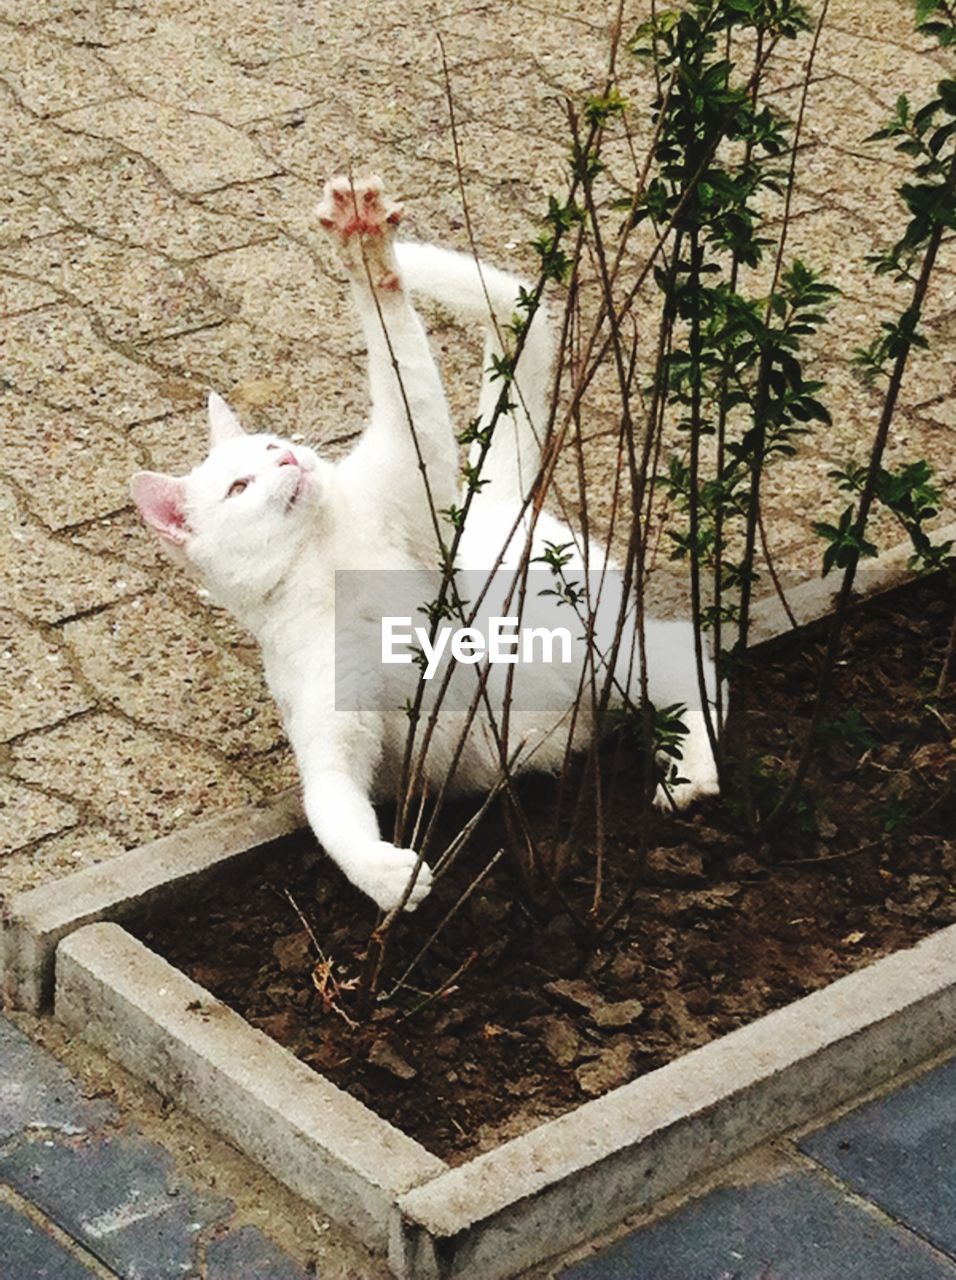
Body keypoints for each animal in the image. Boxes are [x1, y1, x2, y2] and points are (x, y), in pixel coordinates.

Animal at [132, 175, 716, 916]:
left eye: (270, 446)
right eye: (239, 486)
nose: (290, 459)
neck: (327, 565)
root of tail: (503, 500)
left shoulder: (414, 463)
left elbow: (399, 357)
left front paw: (367, 248)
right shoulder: (332, 734)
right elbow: (330, 813)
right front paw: (388, 878)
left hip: (602, 643)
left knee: (693, 663)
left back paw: (694, 771)